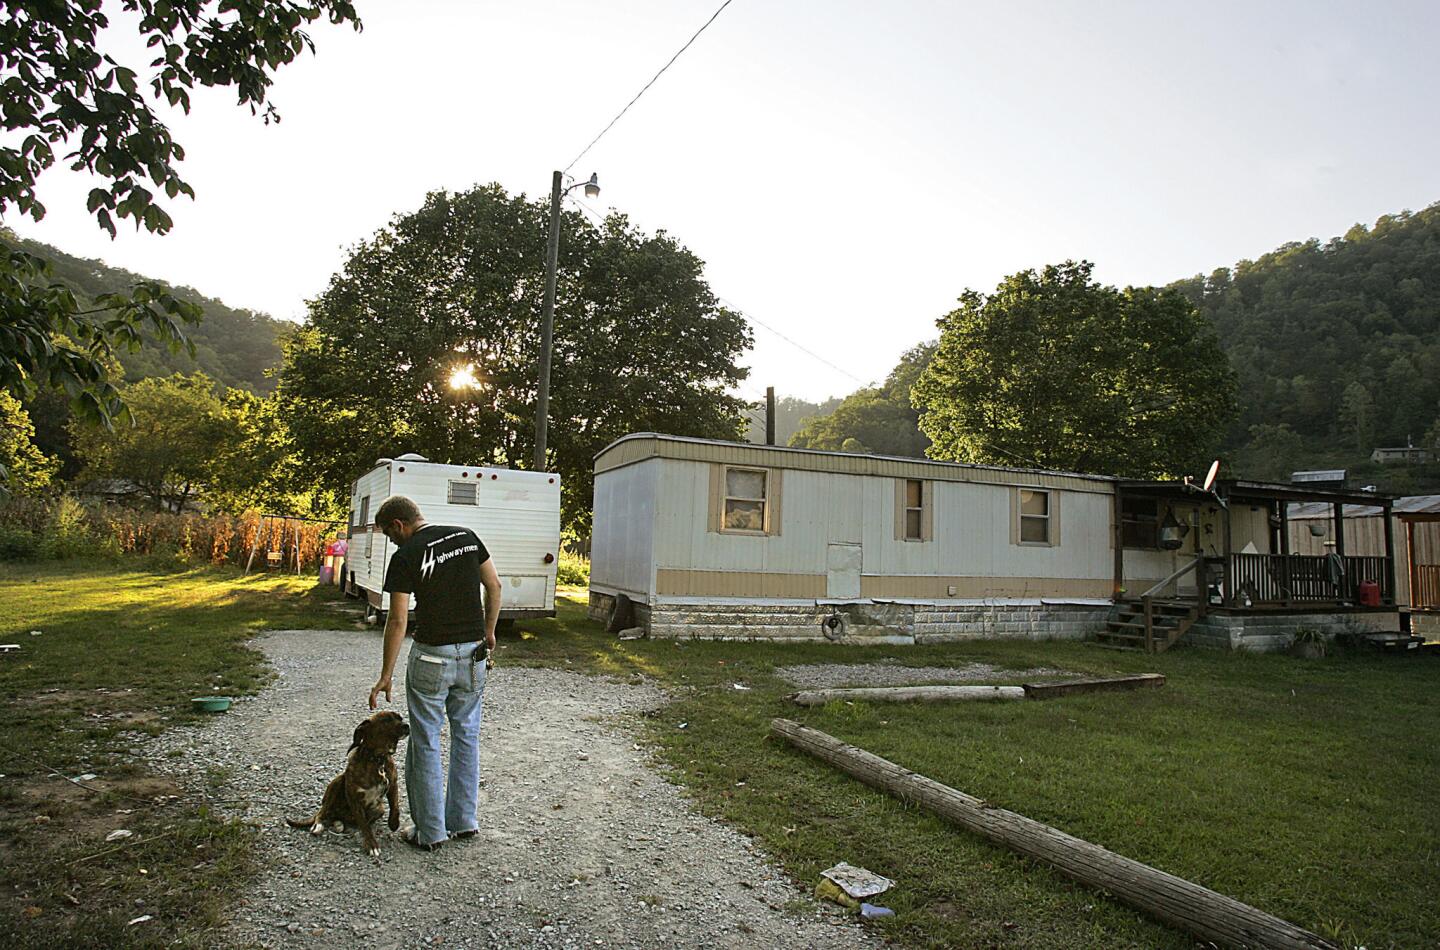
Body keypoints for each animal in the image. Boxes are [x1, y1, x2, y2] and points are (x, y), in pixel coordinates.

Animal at [286, 708, 408, 857]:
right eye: (386, 720)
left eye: (400, 718)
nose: (407, 726)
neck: (378, 760)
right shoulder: (354, 798)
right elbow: (364, 825)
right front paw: (372, 845)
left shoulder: (393, 785)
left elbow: (395, 806)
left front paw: (394, 823)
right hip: (337, 782)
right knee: (322, 811)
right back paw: (318, 825)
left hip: (379, 809)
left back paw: (339, 823)